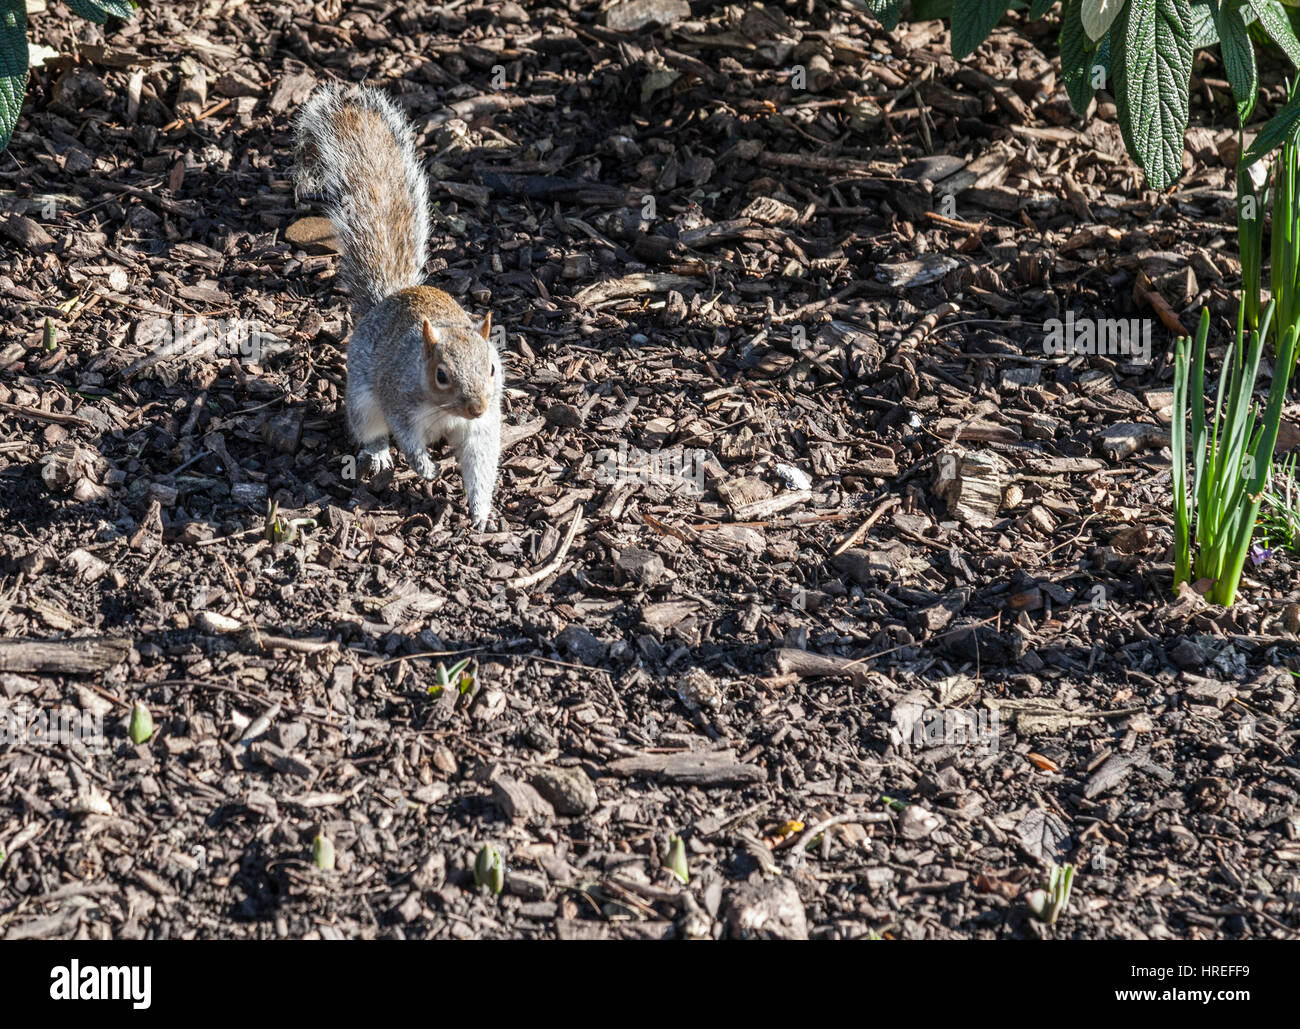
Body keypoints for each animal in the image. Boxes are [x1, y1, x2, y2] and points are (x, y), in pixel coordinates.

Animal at [293, 84, 503, 530]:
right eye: (441, 375)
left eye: (493, 367)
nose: (477, 407)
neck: (447, 412)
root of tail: (392, 296)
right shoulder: (399, 400)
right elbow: (406, 437)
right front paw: (424, 468)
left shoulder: (483, 428)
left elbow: (480, 463)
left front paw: (480, 512)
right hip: (361, 399)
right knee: (369, 428)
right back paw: (378, 454)